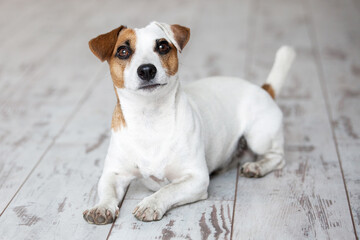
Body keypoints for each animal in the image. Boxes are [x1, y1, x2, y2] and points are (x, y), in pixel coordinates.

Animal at [82, 21, 296, 224]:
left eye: (162, 46)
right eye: (123, 51)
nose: (147, 70)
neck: (150, 117)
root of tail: (263, 89)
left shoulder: (196, 178)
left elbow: (168, 189)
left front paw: (151, 203)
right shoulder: (114, 174)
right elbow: (107, 190)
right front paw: (101, 207)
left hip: (259, 136)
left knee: (278, 157)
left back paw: (257, 167)